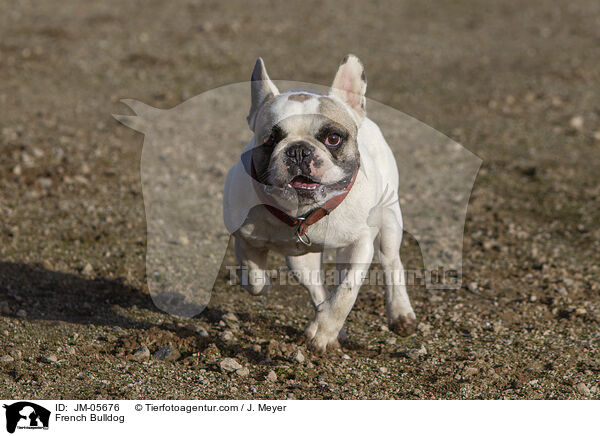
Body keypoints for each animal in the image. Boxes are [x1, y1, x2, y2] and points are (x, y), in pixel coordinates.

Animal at [223, 55, 414, 354]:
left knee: (391, 262)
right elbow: (253, 278)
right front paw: (262, 284)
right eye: (271, 139)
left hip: (390, 220)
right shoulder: (245, 237)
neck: (302, 213)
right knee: (316, 287)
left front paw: (323, 333)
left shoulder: (359, 246)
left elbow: (346, 292)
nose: (299, 150)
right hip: (301, 262)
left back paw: (400, 313)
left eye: (333, 138)